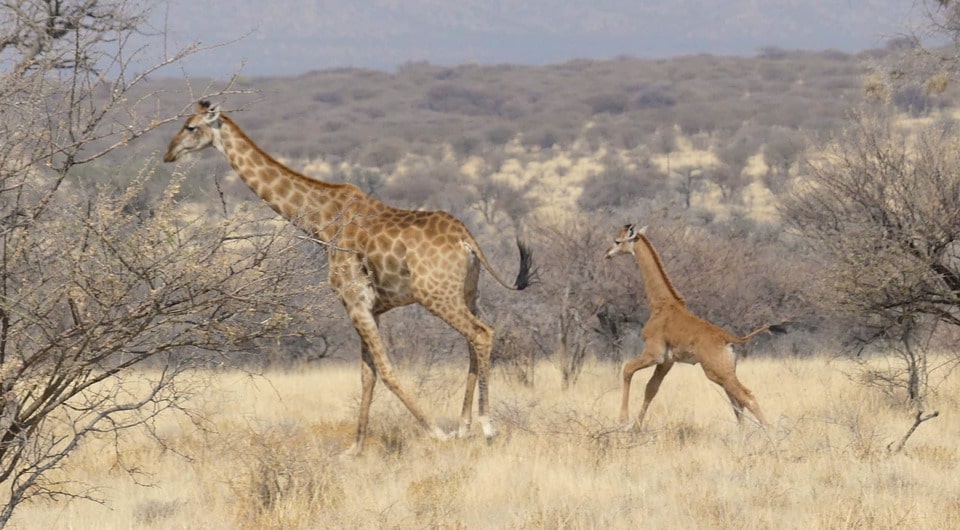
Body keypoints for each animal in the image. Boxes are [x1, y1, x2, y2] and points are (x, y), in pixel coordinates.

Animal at [160, 102, 528, 454]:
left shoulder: (354, 301)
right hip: (467, 293)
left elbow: (386, 371)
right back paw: (465, 426)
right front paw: (355, 448)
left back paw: (486, 427)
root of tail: (467, 239)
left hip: (436, 294)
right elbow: (368, 375)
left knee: (481, 334)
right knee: (472, 341)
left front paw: (437, 434)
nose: (168, 154)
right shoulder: (371, 308)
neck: (321, 221)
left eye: (190, 127)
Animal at [604, 221, 784, 426]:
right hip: (726, 371)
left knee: (748, 397)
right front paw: (636, 427)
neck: (661, 304)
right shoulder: (668, 361)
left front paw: (623, 420)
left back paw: (769, 432)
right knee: (737, 402)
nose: (607, 253)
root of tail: (730, 338)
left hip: (716, 371)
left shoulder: (654, 353)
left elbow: (627, 369)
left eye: (617, 241)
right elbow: (651, 389)